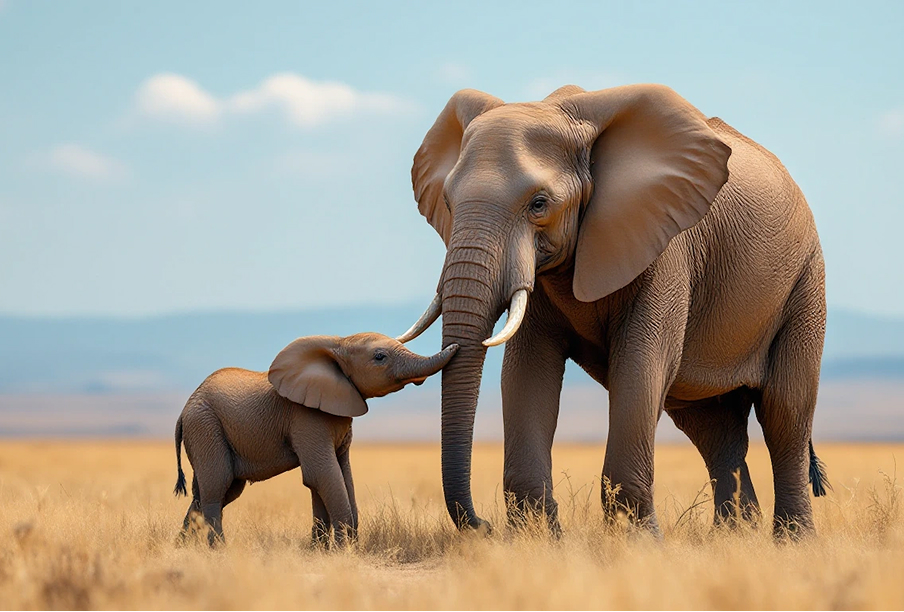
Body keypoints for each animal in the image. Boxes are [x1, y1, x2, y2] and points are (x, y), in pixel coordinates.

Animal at [173, 332, 458, 546]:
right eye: (380, 357)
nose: (455, 346)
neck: (339, 342)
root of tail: (182, 412)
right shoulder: (306, 417)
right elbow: (322, 474)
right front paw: (344, 551)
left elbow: (340, 475)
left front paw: (323, 549)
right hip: (205, 426)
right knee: (216, 488)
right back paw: (218, 550)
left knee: (214, 492)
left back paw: (183, 547)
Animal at [398, 83, 829, 537]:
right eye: (448, 201)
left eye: (539, 204)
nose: (483, 526)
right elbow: (526, 369)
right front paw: (540, 540)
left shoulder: (665, 245)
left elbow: (640, 365)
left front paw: (636, 542)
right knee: (712, 430)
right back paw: (733, 538)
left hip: (805, 282)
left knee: (784, 412)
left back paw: (792, 540)